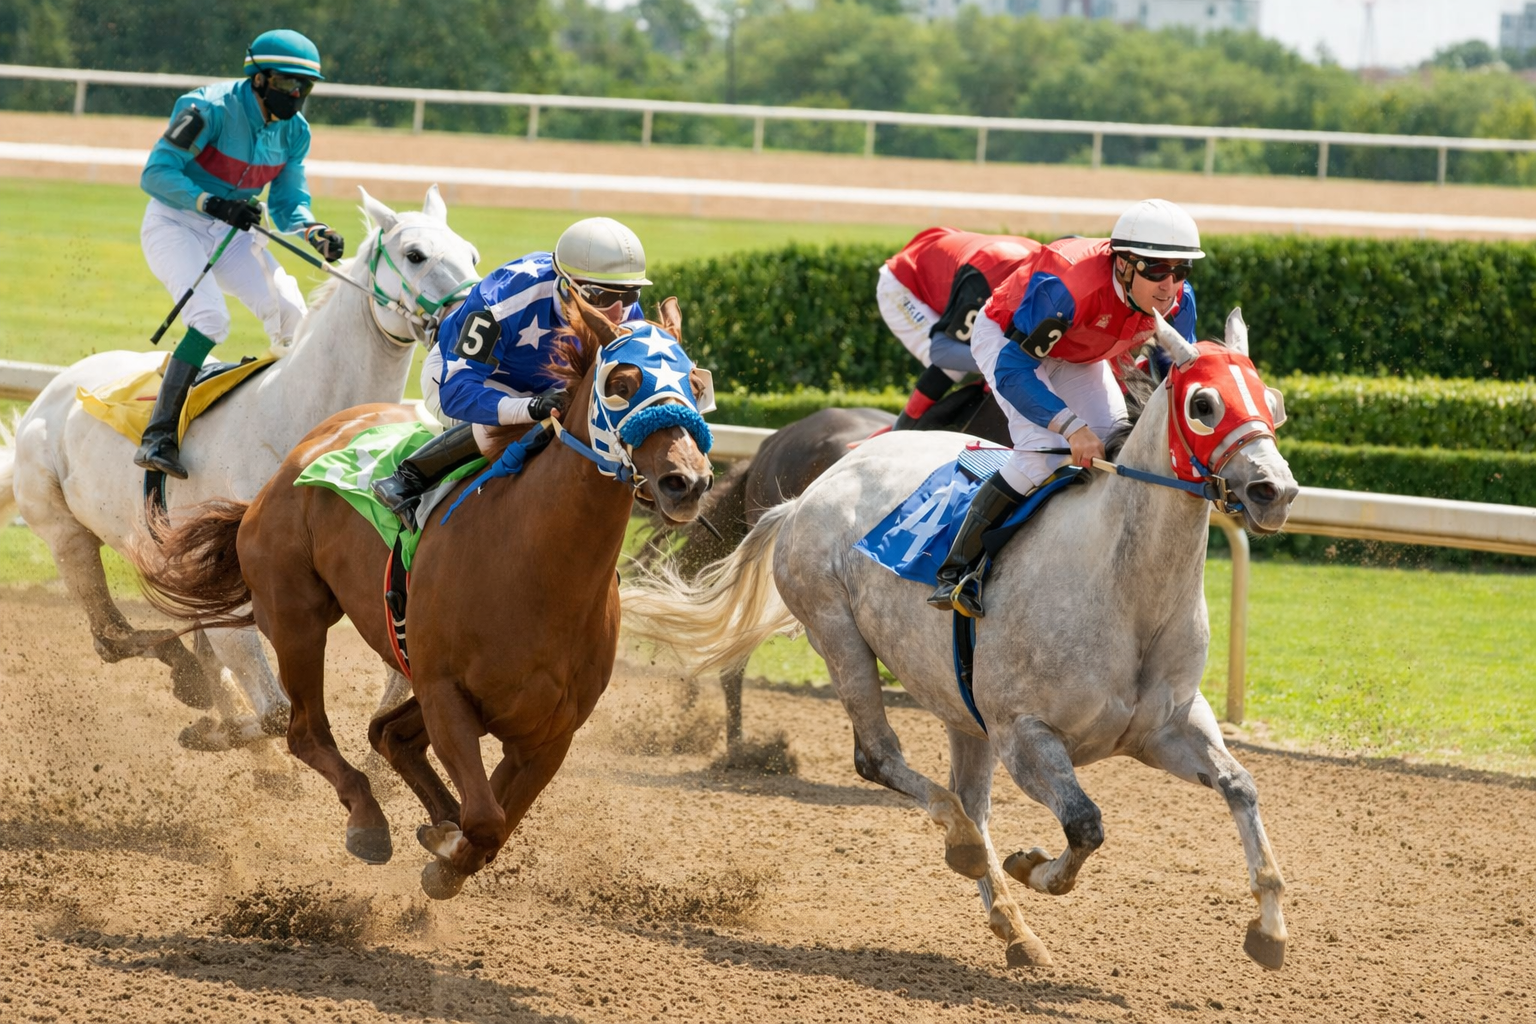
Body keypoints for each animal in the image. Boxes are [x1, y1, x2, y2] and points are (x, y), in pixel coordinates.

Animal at [1, 186, 480, 750]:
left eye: (471, 254)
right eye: (415, 255)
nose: (473, 319)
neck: (299, 417)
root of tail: (54, 390)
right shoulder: (231, 591)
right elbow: (273, 710)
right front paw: (221, 728)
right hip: (66, 532)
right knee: (111, 636)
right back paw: (187, 680)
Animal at [134, 294, 713, 896]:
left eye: (696, 385)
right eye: (621, 382)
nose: (687, 482)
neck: (538, 571)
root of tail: (292, 461)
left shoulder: (550, 733)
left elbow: (493, 825)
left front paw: (446, 848)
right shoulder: (445, 694)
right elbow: (484, 820)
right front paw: (444, 845)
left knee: (385, 732)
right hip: (298, 618)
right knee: (305, 731)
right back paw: (367, 821)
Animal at [620, 309, 1299, 969]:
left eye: (1274, 401)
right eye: (1204, 404)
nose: (1276, 491)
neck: (1126, 591)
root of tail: (807, 493)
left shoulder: (1168, 727)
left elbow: (1241, 786)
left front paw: (1269, 927)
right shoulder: (1023, 734)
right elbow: (1085, 824)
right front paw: (1031, 866)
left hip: (958, 699)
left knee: (970, 798)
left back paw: (1013, 928)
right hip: (838, 633)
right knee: (886, 763)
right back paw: (964, 846)